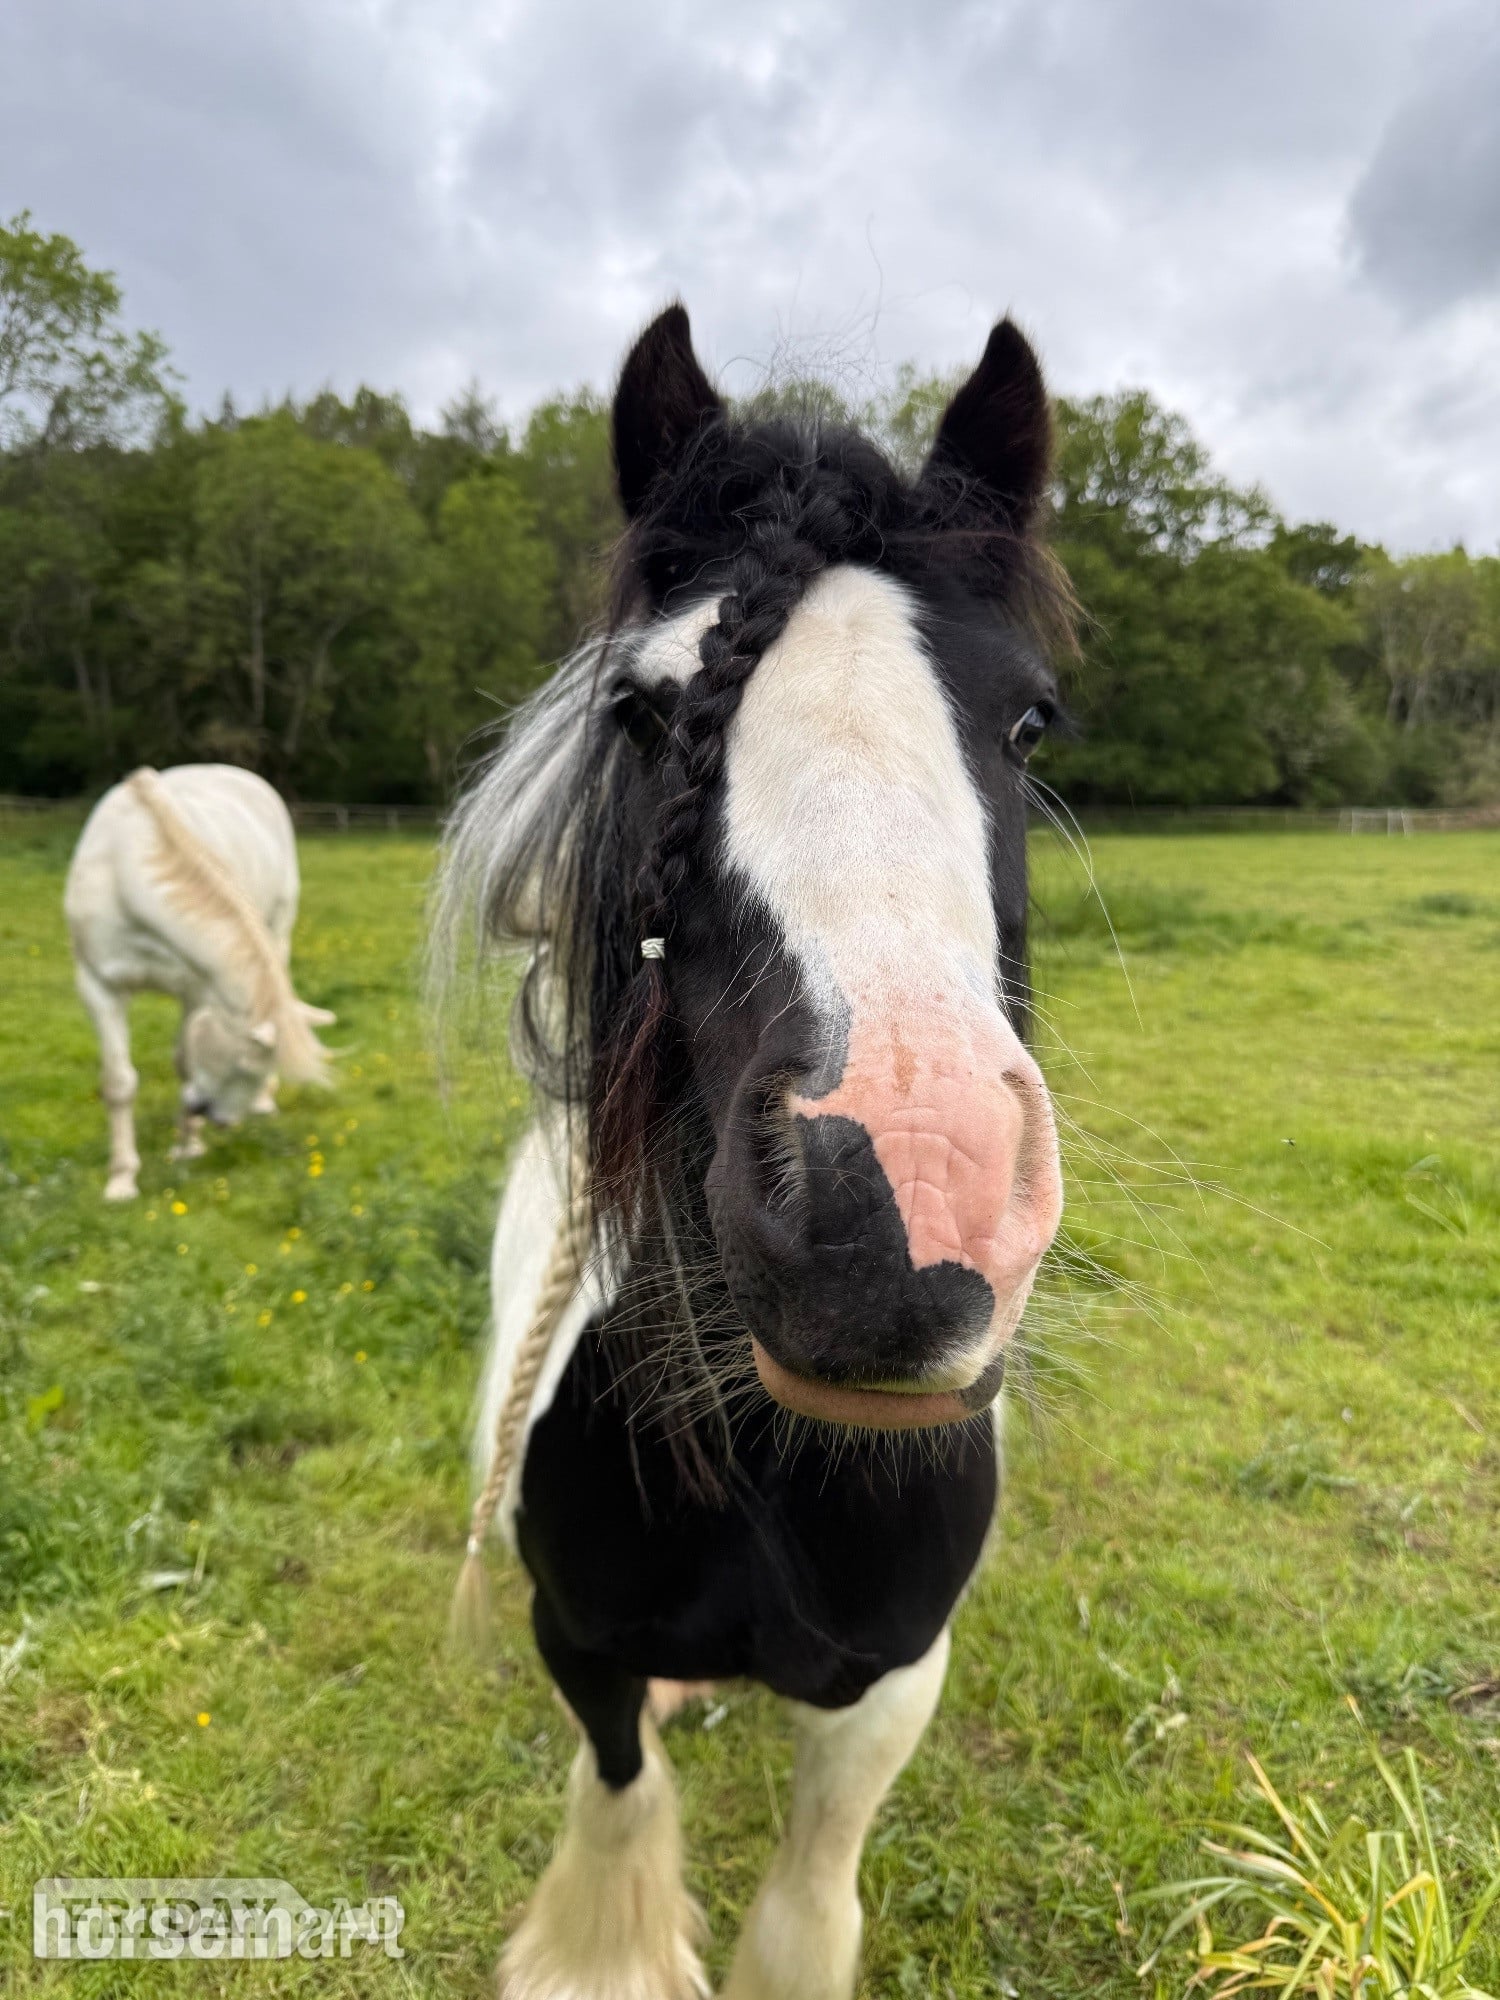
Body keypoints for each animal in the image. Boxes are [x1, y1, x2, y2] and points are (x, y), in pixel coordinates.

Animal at [64, 764, 335, 1200]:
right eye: (242, 1065)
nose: (216, 1117)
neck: (127, 869)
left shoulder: (194, 991)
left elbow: (185, 1062)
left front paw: (188, 1146)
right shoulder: (98, 987)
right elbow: (119, 1081)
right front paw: (122, 1179)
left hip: (279, 930)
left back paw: (262, 1104)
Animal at [437, 304, 1072, 1999]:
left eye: (1029, 720)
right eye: (648, 711)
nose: (896, 1216)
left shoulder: (890, 1682)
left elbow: (806, 1907)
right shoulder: (578, 1642)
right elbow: (616, 1805)